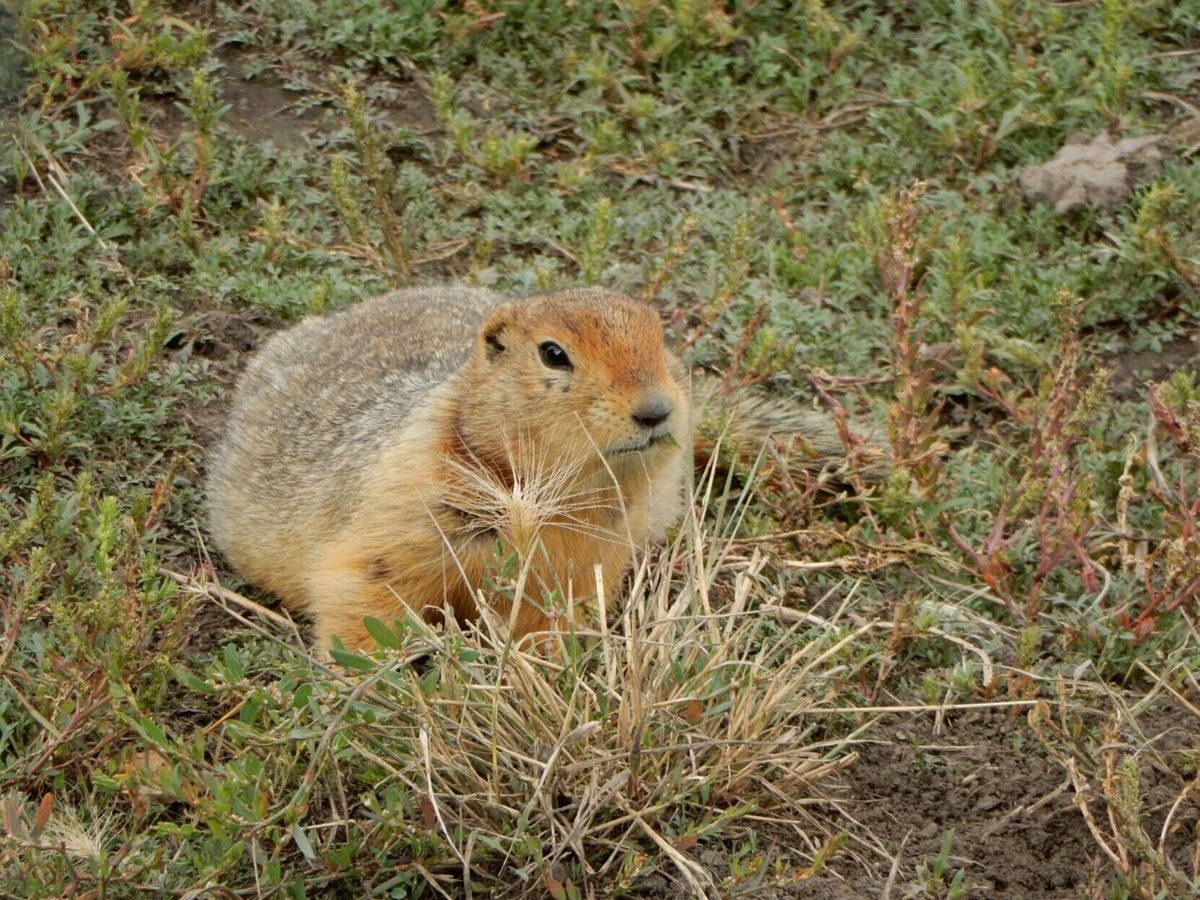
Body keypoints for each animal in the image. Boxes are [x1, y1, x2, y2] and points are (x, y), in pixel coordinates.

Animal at [206, 286, 884, 653]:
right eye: (553, 353)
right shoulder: (405, 505)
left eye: (661, 338)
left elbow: (550, 617)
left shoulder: (588, 557)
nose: (657, 409)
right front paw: (370, 681)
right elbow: (366, 589)